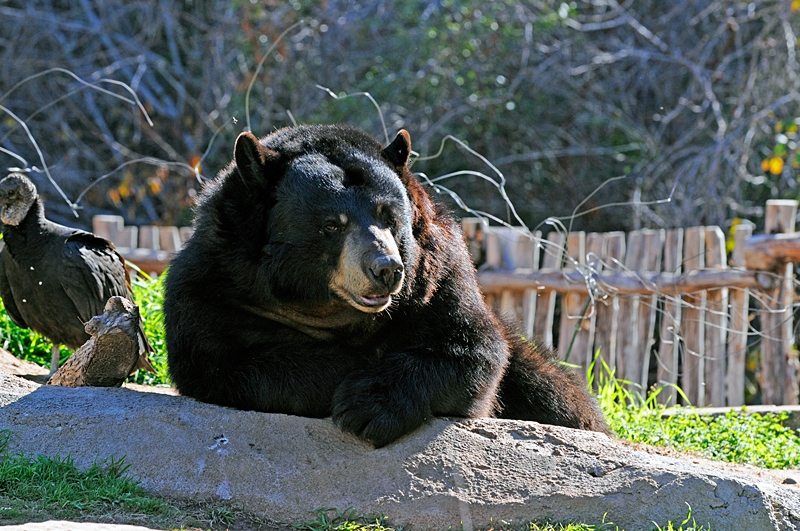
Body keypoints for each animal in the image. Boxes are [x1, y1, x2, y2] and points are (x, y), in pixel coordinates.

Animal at [166, 127, 608, 446]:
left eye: (389, 216)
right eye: (332, 224)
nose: (386, 269)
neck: (326, 309)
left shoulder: (437, 279)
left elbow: (470, 347)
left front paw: (369, 405)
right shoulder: (212, 287)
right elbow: (220, 361)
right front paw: (347, 372)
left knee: (558, 397)